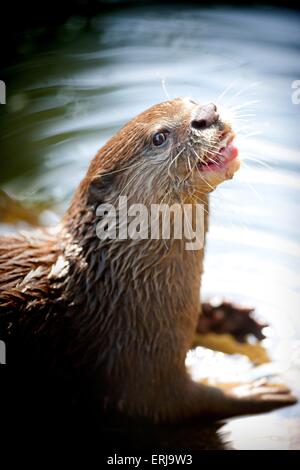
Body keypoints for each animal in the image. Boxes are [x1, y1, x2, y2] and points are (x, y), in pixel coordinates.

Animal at [0, 98, 296, 426]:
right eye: (159, 137)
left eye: (191, 101)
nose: (207, 113)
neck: (112, 292)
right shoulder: (134, 372)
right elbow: (181, 402)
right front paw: (256, 390)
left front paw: (226, 314)